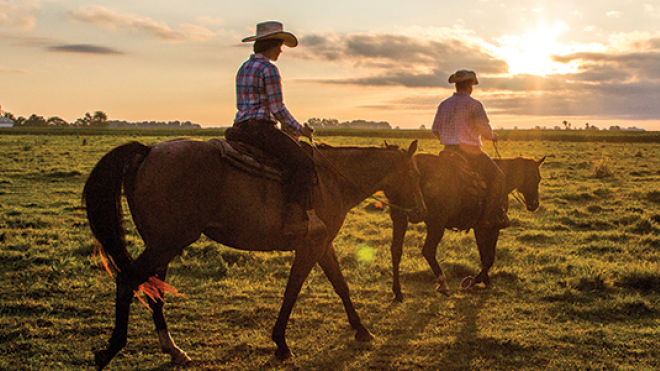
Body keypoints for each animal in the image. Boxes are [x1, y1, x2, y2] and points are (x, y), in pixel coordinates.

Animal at [85, 138, 426, 370]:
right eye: (414, 174)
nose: (420, 211)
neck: (332, 181)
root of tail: (149, 151)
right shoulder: (309, 247)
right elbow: (292, 291)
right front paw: (281, 343)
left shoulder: (323, 245)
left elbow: (341, 285)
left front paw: (361, 330)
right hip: (166, 243)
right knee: (127, 281)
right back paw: (111, 349)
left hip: (162, 244)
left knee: (153, 290)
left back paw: (173, 349)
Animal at [390, 154, 544, 302]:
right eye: (537, 178)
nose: (535, 204)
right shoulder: (492, 228)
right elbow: (490, 257)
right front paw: (475, 280)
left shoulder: (479, 228)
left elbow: (484, 255)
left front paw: (486, 280)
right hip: (436, 224)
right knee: (428, 251)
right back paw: (443, 284)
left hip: (400, 218)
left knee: (396, 251)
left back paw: (398, 292)